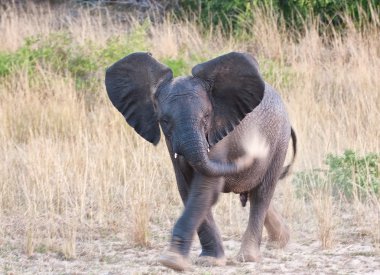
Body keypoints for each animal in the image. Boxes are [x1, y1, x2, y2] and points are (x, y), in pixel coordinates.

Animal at [104, 51, 296, 272]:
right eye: (164, 121)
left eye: (206, 117)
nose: (255, 147)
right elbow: (187, 187)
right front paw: (206, 260)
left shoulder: (218, 134)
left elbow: (203, 188)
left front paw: (172, 261)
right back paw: (280, 241)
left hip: (279, 141)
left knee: (262, 194)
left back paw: (248, 257)